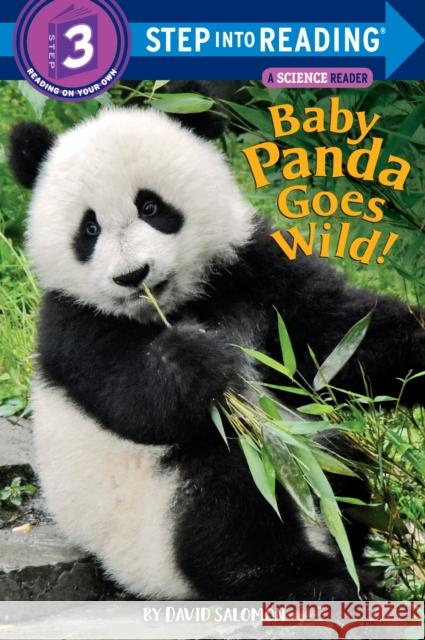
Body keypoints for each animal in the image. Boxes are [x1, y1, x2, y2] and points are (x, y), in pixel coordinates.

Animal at [8, 107, 425, 601]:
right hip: (151, 517)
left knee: (340, 466)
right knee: (231, 491)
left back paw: (356, 557)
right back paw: (305, 576)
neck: (173, 305)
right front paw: (197, 360)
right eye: (89, 229)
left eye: (150, 207)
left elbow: (338, 341)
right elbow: (130, 399)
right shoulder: (73, 323)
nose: (132, 276)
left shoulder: (252, 266)